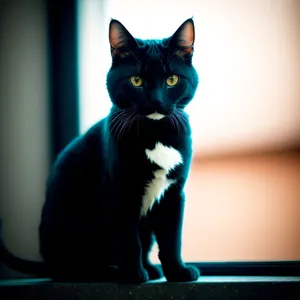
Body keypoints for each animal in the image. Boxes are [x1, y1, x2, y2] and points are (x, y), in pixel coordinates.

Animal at [0, 17, 202, 284]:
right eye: (136, 80)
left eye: (172, 80)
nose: (156, 102)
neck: (156, 134)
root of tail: (47, 263)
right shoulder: (119, 193)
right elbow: (129, 240)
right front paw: (132, 275)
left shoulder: (173, 194)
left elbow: (171, 239)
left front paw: (178, 272)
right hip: (74, 229)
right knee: (71, 268)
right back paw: (108, 271)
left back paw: (150, 269)